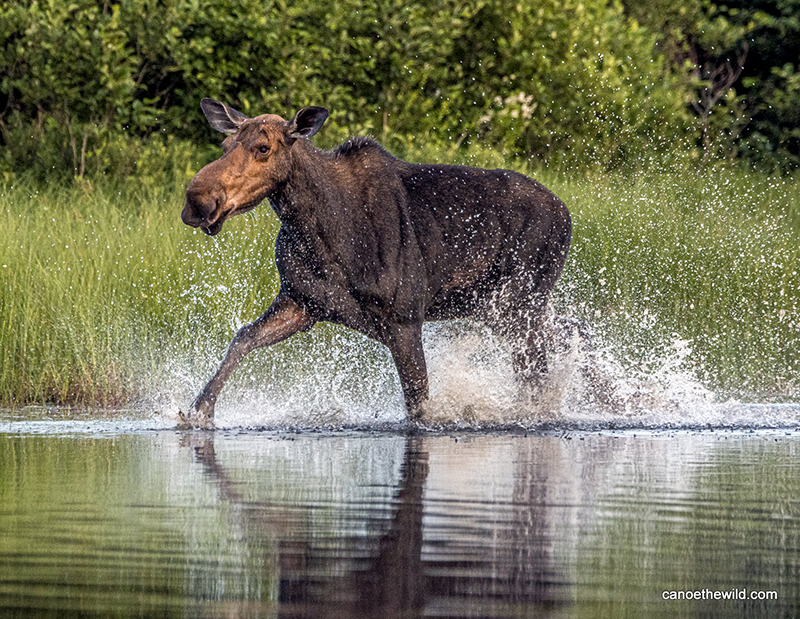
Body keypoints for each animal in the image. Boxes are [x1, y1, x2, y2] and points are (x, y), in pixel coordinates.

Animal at [178, 99, 572, 428]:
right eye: (225, 146)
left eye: (263, 148)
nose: (198, 201)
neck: (319, 230)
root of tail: (567, 216)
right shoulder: (301, 302)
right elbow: (241, 339)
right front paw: (198, 411)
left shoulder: (404, 319)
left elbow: (418, 403)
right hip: (500, 307)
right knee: (564, 337)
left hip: (518, 303)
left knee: (536, 367)